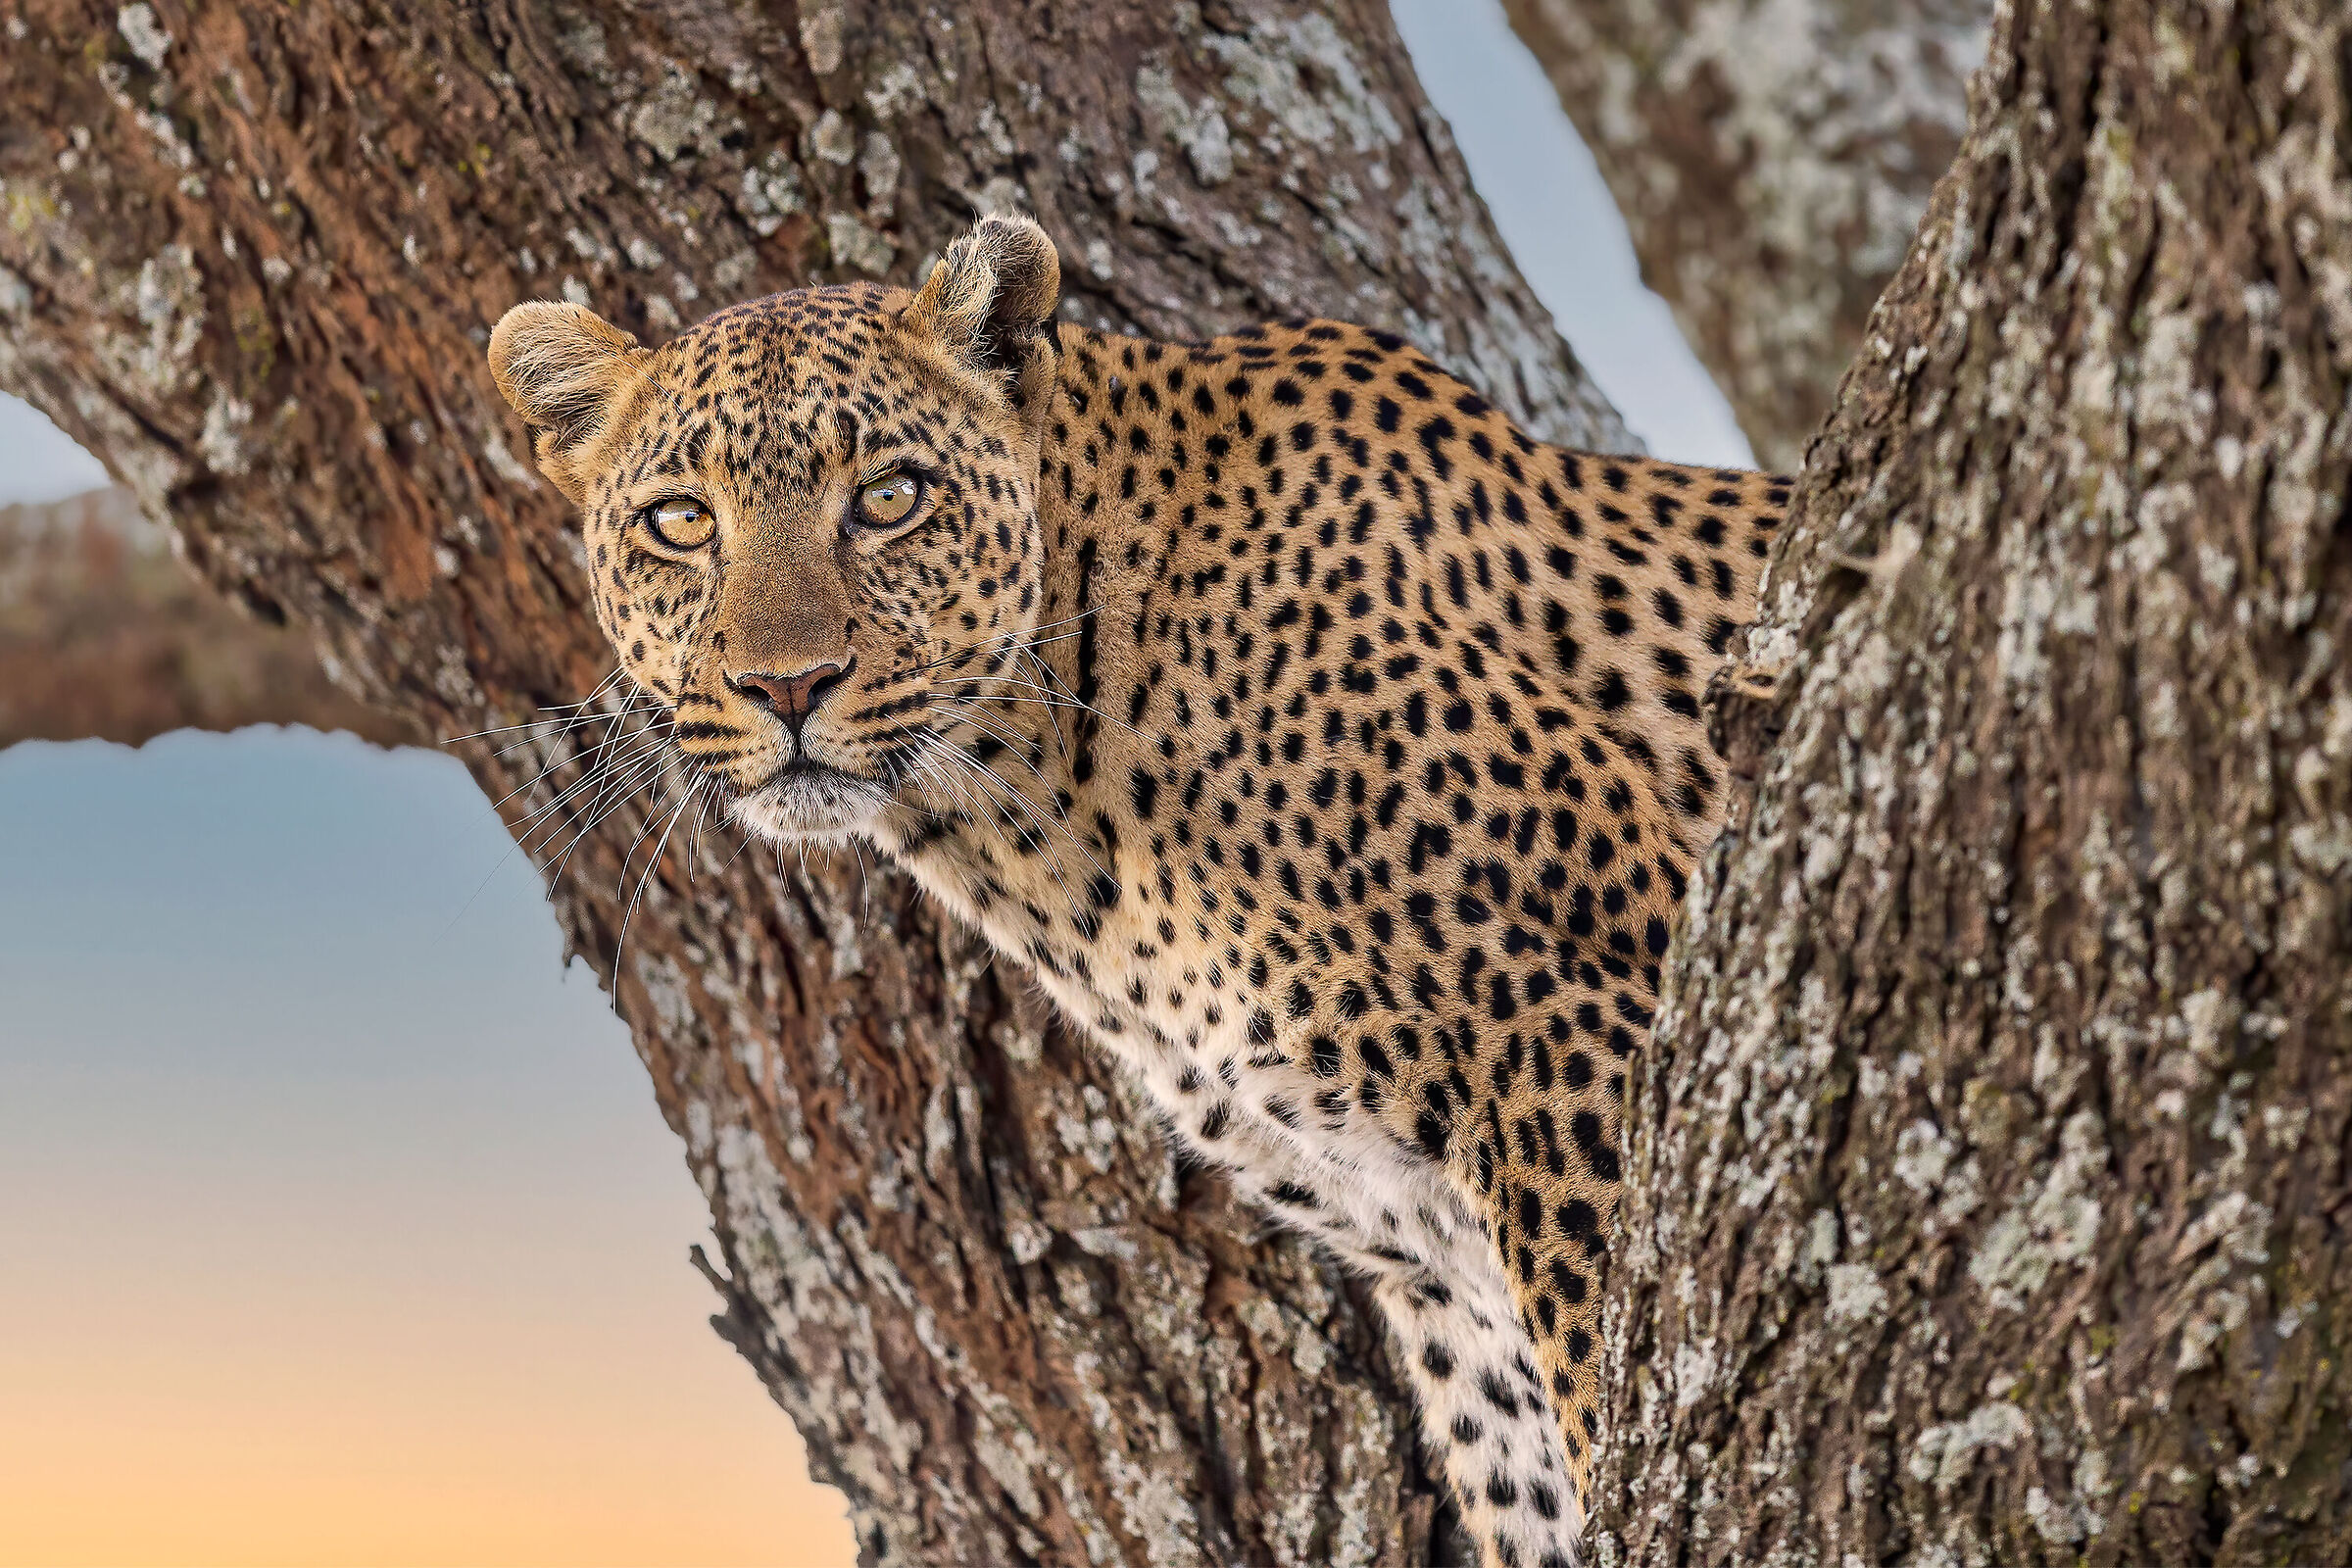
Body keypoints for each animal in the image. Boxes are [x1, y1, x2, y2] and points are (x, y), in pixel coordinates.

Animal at [488, 215, 1785, 1568]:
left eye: (890, 498)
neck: (1041, 824)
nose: (786, 686)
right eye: (682, 521)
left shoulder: (1572, 1039)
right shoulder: (1435, 1263)